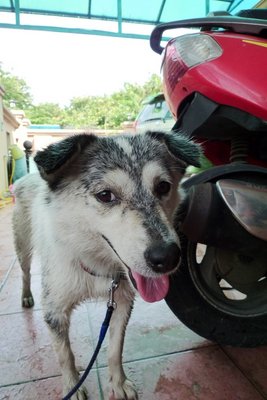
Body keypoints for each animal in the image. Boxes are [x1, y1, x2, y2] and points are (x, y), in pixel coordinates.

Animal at [12, 130, 201, 398]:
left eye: (163, 186)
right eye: (105, 195)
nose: (166, 257)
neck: (96, 264)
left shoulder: (122, 300)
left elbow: (114, 349)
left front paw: (119, 384)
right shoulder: (54, 310)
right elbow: (65, 355)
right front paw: (72, 386)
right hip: (22, 245)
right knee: (25, 272)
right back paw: (26, 296)